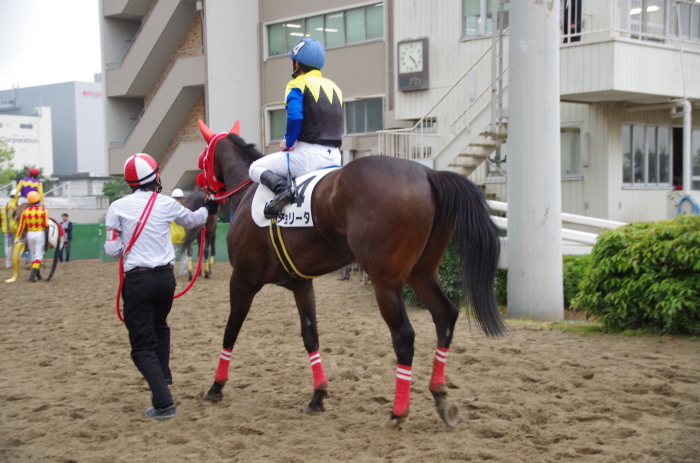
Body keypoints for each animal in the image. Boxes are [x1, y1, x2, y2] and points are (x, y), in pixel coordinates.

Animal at [197, 119, 508, 432]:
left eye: (202, 159)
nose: (203, 190)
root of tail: (428, 173)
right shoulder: (301, 285)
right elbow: (310, 336)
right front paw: (318, 396)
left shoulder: (243, 280)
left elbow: (230, 331)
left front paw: (216, 386)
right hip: (421, 274)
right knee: (445, 316)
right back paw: (440, 396)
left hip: (385, 282)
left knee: (404, 335)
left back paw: (398, 412)